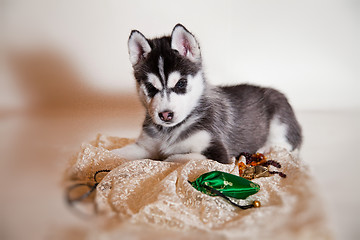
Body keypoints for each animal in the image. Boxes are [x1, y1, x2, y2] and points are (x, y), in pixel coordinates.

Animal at [112, 23, 300, 163]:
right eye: (151, 88)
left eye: (181, 83)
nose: (165, 115)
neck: (170, 131)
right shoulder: (144, 145)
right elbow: (117, 153)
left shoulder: (217, 152)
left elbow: (173, 158)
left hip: (279, 116)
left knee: (287, 145)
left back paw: (266, 148)